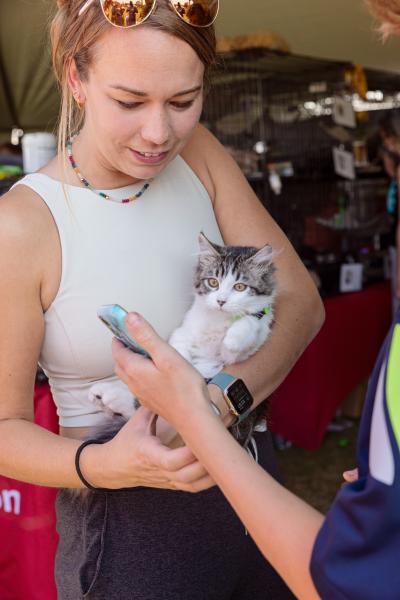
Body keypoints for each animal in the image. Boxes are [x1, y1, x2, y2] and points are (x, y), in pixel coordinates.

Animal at [88, 232, 276, 448]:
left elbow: (249, 322)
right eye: (213, 282)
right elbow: (179, 344)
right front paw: (181, 359)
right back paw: (103, 394)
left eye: (240, 287)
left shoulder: (249, 344)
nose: (221, 301)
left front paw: (232, 339)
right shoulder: (185, 329)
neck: (218, 318)